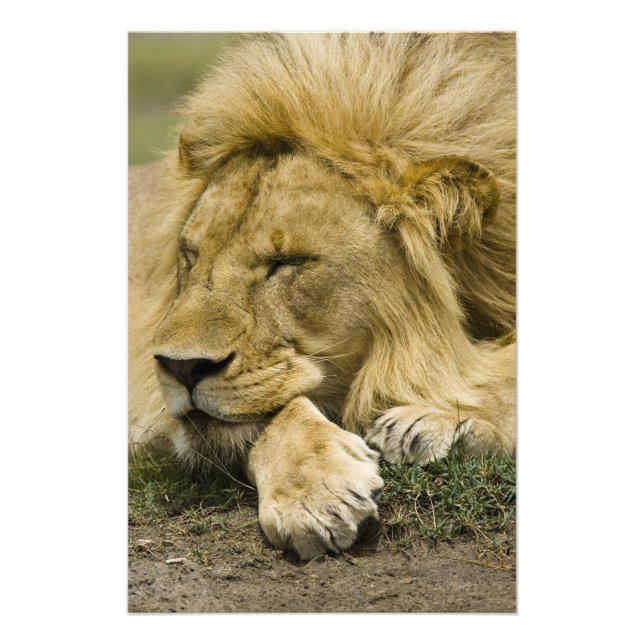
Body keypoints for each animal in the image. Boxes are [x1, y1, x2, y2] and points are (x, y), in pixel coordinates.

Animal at [129, 33, 516, 560]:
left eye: (287, 262)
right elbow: (275, 407)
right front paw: (316, 493)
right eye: (190, 256)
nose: (180, 368)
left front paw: (441, 419)